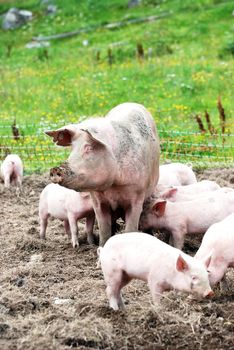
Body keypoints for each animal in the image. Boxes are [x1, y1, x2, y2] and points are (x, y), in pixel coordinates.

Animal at [45, 102, 160, 246]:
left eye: (89, 148)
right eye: (72, 148)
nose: (55, 169)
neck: (113, 185)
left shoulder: (137, 194)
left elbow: (131, 227)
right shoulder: (97, 199)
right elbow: (104, 228)